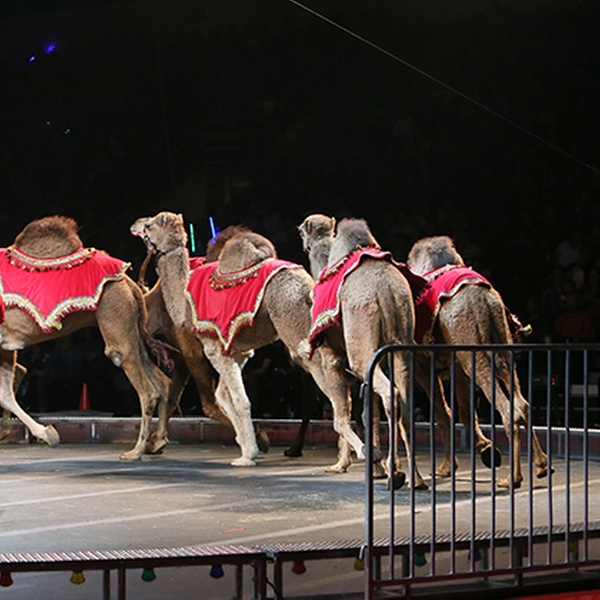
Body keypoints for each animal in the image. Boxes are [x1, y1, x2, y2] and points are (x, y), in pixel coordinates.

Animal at [0, 216, 170, 460]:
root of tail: (129, 282)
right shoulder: (6, 344)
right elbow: (6, 393)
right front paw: (48, 434)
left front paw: (46, 434)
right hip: (132, 329)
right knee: (163, 382)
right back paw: (157, 443)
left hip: (115, 316)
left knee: (146, 389)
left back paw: (135, 451)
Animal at [131, 212, 394, 482]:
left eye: (150, 224)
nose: (136, 225)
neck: (184, 301)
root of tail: (311, 288)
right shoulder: (237, 352)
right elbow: (225, 396)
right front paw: (248, 443)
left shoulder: (214, 347)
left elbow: (240, 399)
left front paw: (248, 455)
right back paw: (355, 462)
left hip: (297, 332)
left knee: (333, 388)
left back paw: (358, 457)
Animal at [296, 213, 426, 490]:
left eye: (301, 231)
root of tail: (385, 288)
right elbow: (370, 413)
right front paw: (377, 467)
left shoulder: (332, 356)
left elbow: (340, 418)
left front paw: (367, 456)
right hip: (401, 343)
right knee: (404, 402)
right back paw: (416, 479)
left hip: (360, 347)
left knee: (391, 395)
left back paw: (395, 473)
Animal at [406, 234, 552, 488]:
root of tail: (480, 300)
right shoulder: (456, 365)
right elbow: (463, 411)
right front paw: (481, 452)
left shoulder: (424, 365)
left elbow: (442, 412)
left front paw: (448, 467)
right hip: (497, 343)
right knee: (522, 403)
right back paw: (542, 466)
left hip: (472, 347)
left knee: (508, 408)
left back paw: (512, 479)